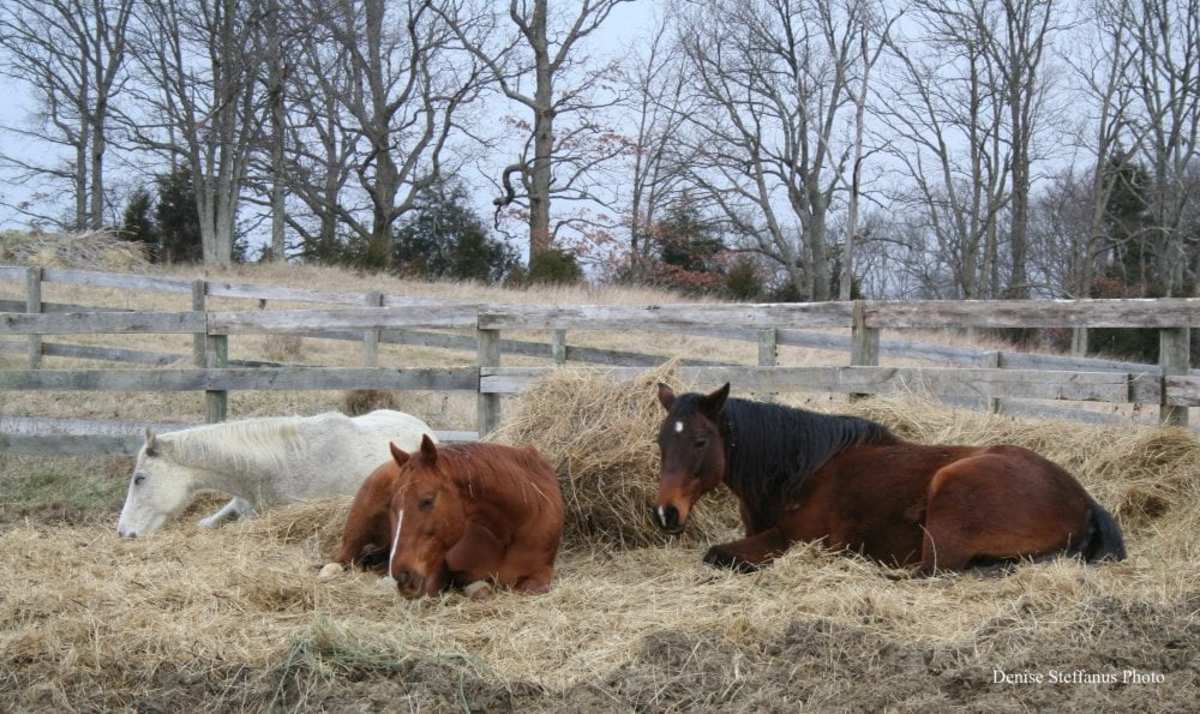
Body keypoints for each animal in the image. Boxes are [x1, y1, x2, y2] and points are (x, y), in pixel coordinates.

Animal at [323, 435, 563, 599]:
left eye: (427, 500)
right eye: (393, 504)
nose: (402, 576)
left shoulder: (540, 577)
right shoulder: (438, 568)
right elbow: (474, 588)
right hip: (358, 527)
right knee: (341, 560)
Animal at [652, 383, 1126, 575]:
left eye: (699, 441)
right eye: (660, 441)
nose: (665, 514)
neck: (798, 474)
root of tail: (1084, 501)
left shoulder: (793, 540)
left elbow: (718, 554)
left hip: (950, 498)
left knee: (934, 572)